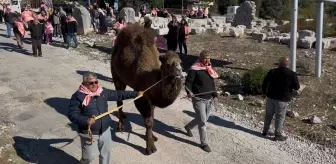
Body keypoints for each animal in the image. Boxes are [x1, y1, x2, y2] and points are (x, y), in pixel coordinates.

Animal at [110, 23, 184, 155]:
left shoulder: (152, 99)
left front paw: (152, 137)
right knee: (119, 100)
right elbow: (148, 121)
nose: (179, 71)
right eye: (168, 64)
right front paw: (150, 147)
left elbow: (152, 117)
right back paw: (120, 126)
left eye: (180, 62)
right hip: (116, 75)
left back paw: (123, 117)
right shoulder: (141, 97)